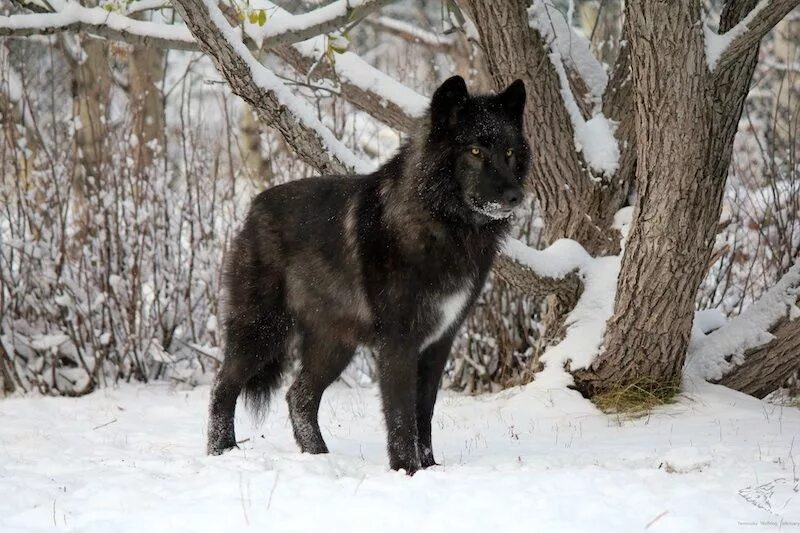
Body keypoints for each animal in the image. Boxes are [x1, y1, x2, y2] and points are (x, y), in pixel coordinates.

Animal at [209, 76, 528, 474]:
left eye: (510, 152)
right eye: (474, 151)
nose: (516, 196)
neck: (441, 224)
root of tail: (253, 208)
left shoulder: (439, 344)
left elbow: (423, 413)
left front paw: (430, 468)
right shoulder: (398, 343)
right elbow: (402, 417)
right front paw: (407, 470)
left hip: (334, 346)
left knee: (299, 396)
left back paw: (319, 457)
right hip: (262, 331)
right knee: (223, 385)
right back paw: (222, 451)